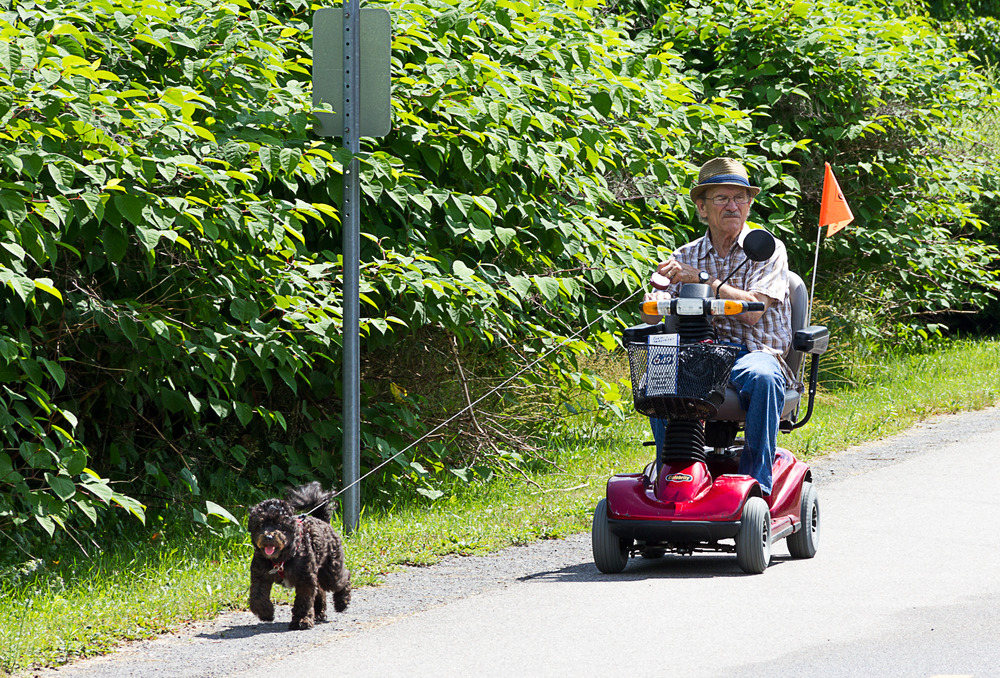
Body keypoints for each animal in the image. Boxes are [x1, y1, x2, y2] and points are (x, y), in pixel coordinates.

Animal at [247, 484, 352, 632]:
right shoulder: (260, 576)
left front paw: (302, 620)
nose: (268, 536)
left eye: (280, 525)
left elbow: (303, 601)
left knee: (343, 578)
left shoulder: (304, 579)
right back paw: (319, 612)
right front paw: (266, 613)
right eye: (260, 524)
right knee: (320, 590)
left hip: (330, 571)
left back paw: (342, 602)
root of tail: (323, 522)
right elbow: (257, 597)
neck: (281, 559)